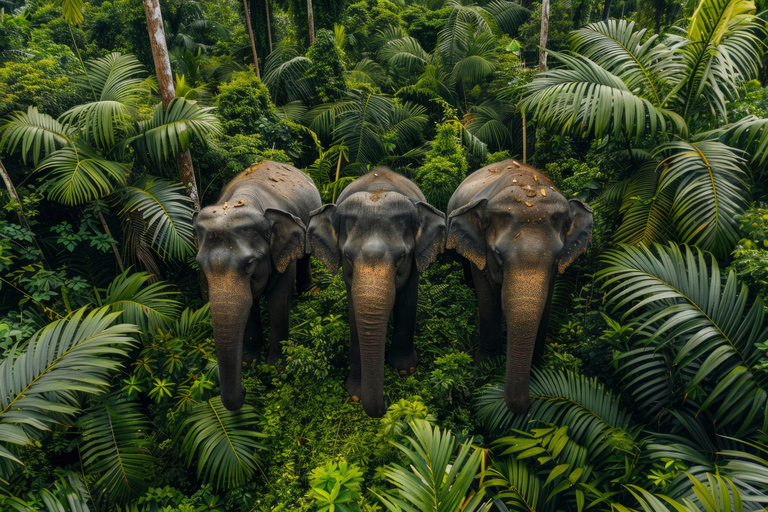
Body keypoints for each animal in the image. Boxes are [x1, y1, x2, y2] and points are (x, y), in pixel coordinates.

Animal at [195, 162, 324, 410]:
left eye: (250, 264)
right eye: (200, 265)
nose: (245, 389)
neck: (242, 201)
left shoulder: (283, 252)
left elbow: (279, 299)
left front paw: (276, 367)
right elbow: (250, 303)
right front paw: (250, 362)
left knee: (305, 257)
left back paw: (306, 293)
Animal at [306, 167, 448, 416]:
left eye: (401, 257)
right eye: (348, 257)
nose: (388, 401)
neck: (377, 192)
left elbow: (408, 301)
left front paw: (405, 370)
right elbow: (355, 316)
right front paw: (355, 394)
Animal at [448, 162, 592, 414]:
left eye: (556, 259)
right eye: (498, 255)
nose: (532, 400)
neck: (528, 186)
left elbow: (545, 304)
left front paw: (537, 368)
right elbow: (487, 300)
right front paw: (485, 366)